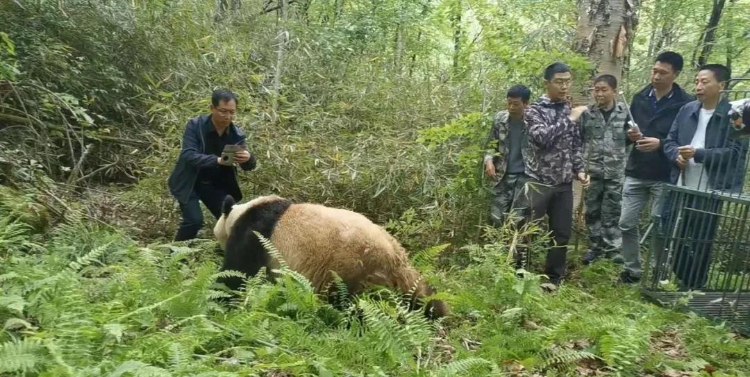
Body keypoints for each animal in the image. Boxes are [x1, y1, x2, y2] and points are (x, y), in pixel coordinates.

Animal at [212, 194, 450, 318]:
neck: (240, 213)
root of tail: (392, 258)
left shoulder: (254, 235)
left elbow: (237, 273)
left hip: (349, 269)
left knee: (354, 304)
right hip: (405, 273)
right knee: (423, 296)